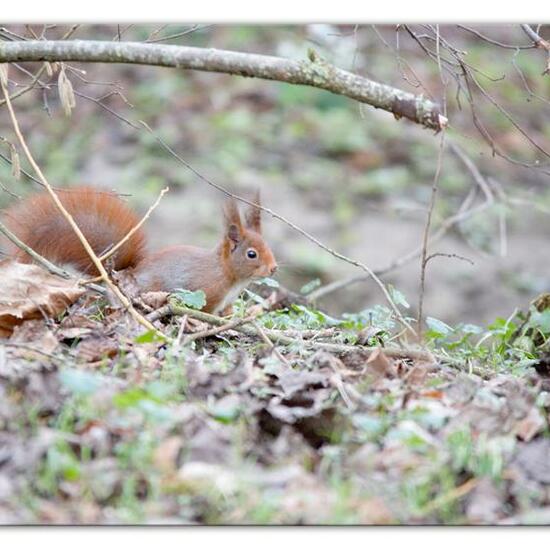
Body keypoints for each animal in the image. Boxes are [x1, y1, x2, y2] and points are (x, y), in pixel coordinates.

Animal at [2, 187, 280, 312]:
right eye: (251, 254)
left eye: (268, 246)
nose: (274, 268)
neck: (228, 275)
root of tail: (125, 274)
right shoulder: (207, 295)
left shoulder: (227, 302)